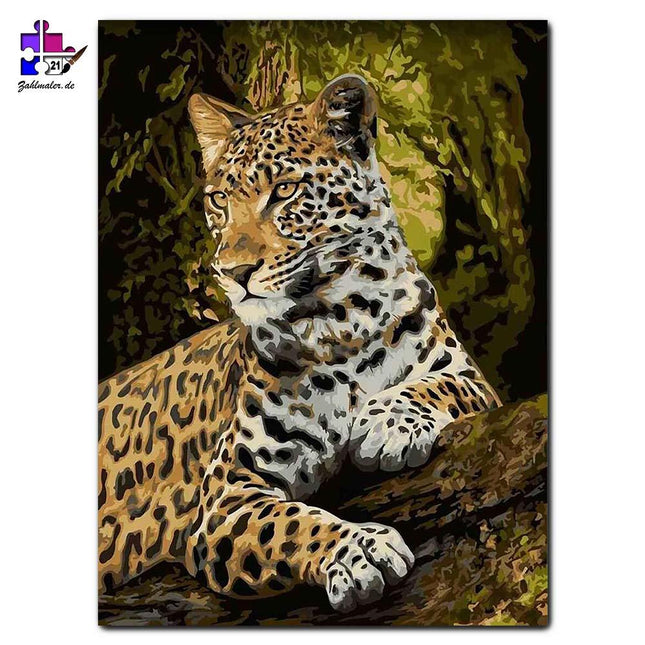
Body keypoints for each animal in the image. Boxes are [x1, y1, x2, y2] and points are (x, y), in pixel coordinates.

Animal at [98, 74, 501, 613]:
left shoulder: (468, 373)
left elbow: (438, 385)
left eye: (284, 191)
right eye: (219, 201)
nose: (233, 272)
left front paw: (386, 423)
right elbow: (289, 525)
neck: (341, 320)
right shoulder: (226, 496)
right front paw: (358, 551)